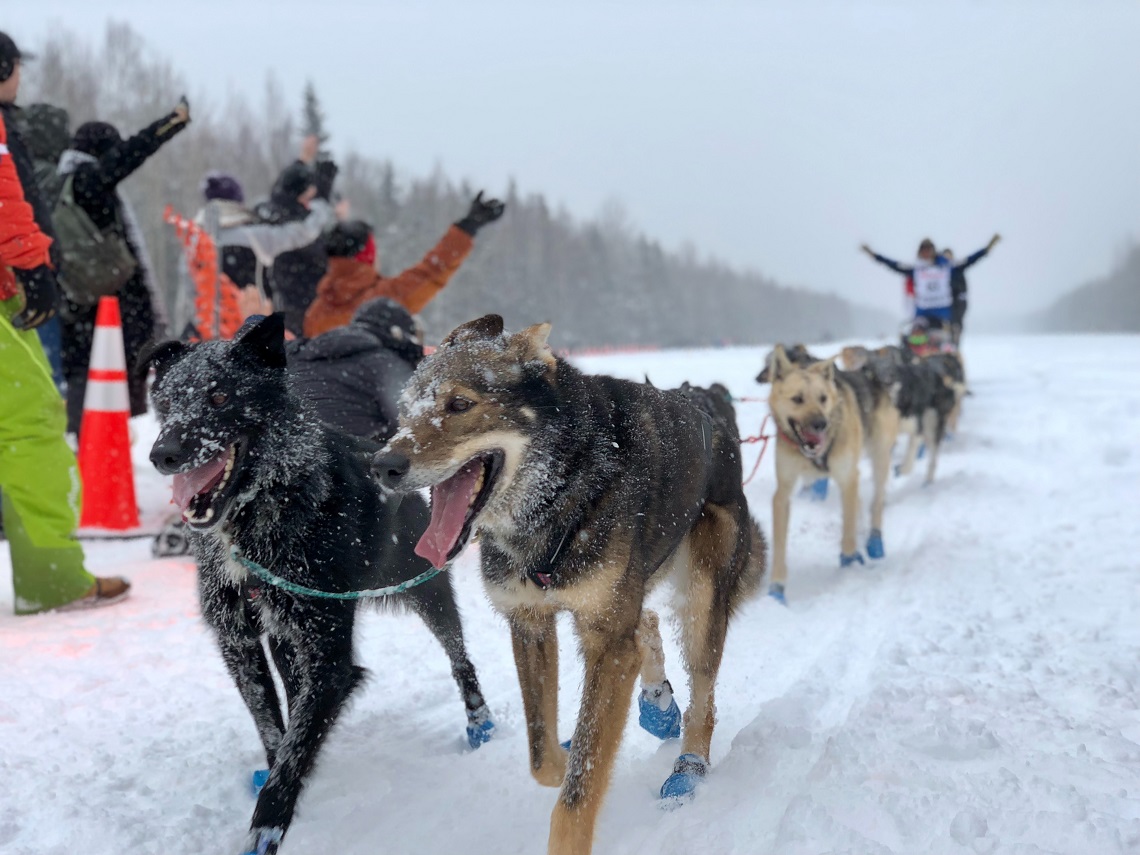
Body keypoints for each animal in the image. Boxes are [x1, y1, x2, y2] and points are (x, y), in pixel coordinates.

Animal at [140, 316, 492, 855]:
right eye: (167, 399)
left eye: (220, 396)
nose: (164, 453)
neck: (253, 522)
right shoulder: (239, 643)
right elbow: (276, 729)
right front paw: (280, 769)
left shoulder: (330, 659)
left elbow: (296, 746)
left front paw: (267, 826)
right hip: (288, 636)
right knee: (293, 686)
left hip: (426, 592)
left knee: (459, 655)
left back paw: (480, 721)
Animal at [373, 314, 766, 855]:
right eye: (407, 409)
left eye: (460, 404)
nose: (381, 465)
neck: (561, 493)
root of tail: (713, 414)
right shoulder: (530, 623)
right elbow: (544, 756)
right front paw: (564, 756)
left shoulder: (605, 643)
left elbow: (578, 792)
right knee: (645, 621)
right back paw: (657, 705)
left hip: (702, 597)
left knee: (702, 697)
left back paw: (688, 767)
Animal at [766, 344, 898, 601]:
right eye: (797, 399)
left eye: (823, 398)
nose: (821, 424)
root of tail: (870, 375)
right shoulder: (782, 493)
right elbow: (779, 544)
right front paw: (776, 588)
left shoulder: (848, 479)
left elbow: (847, 529)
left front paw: (849, 563)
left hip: (879, 458)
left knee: (875, 503)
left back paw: (874, 542)